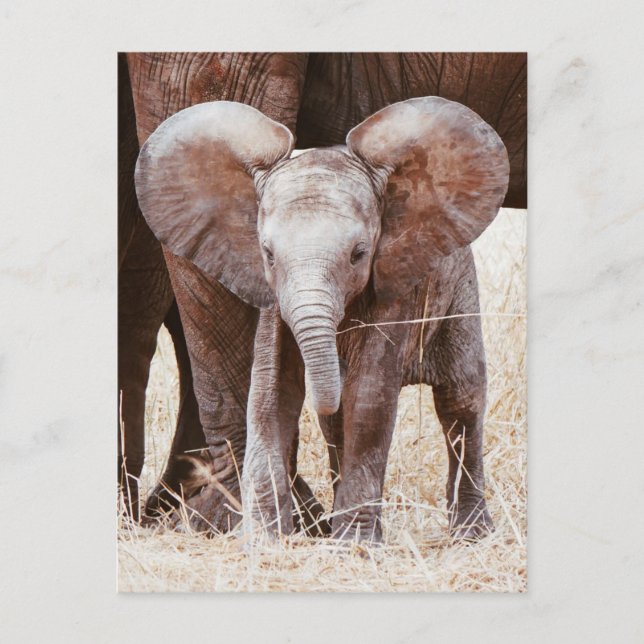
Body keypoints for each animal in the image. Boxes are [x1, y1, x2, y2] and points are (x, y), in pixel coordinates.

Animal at [119, 52, 526, 535]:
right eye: (267, 253)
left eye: (359, 254)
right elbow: (272, 391)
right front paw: (267, 533)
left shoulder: (393, 290)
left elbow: (368, 395)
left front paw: (347, 540)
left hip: (459, 296)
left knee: (461, 397)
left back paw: (470, 534)